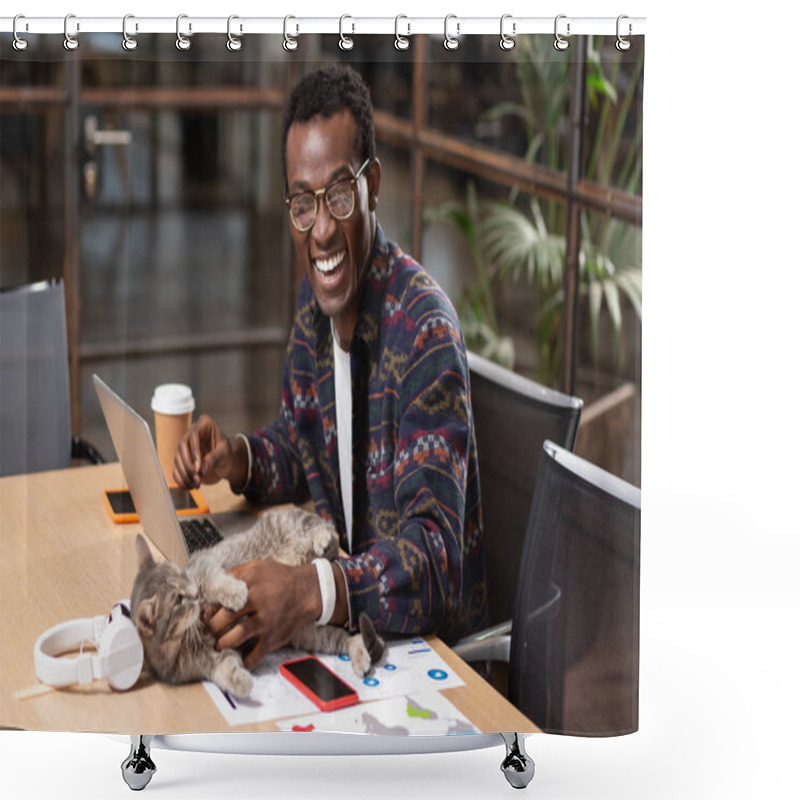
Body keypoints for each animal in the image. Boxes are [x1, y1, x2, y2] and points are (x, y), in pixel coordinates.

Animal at [130, 506, 384, 700]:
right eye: (178, 600)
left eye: (182, 575)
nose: (193, 591)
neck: (185, 640)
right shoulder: (215, 658)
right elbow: (225, 672)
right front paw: (242, 682)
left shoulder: (204, 564)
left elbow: (215, 582)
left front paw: (236, 593)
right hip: (310, 634)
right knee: (351, 638)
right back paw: (360, 656)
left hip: (292, 523)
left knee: (327, 529)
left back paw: (323, 540)